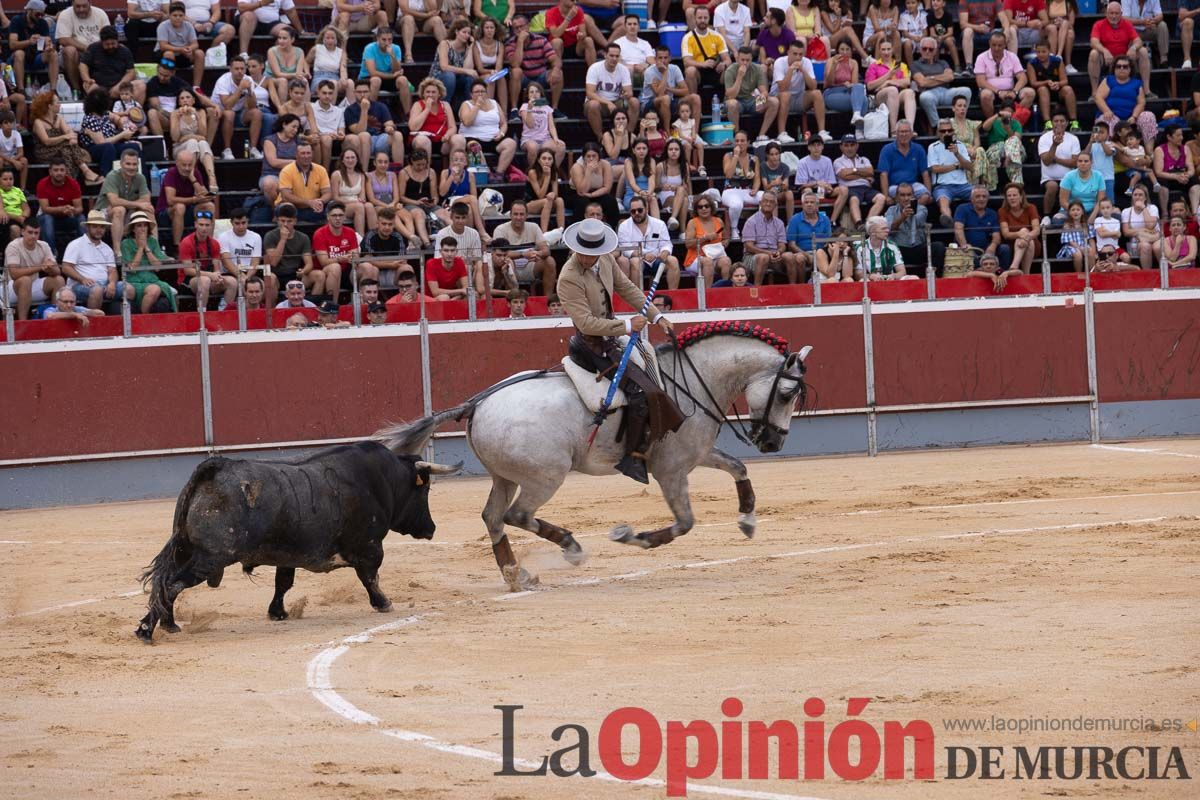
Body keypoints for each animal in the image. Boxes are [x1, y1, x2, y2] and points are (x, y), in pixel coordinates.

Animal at [136, 441, 458, 642]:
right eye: (424, 490)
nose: (431, 528)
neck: (382, 479)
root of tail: (215, 466)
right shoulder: (369, 546)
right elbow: (370, 577)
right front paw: (384, 603)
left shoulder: (287, 555)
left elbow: (283, 583)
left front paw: (277, 613)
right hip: (208, 558)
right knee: (172, 584)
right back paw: (155, 629)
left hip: (185, 550)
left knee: (165, 583)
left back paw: (158, 626)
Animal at [376, 321, 806, 592]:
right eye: (787, 394)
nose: (773, 442)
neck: (691, 382)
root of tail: (477, 404)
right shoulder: (670, 469)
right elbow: (685, 523)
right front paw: (632, 536)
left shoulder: (695, 454)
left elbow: (738, 467)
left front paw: (748, 519)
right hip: (546, 476)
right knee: (518, 515)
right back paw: (571, 548)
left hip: (505, 477)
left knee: (493, 517)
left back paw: (518, 575)